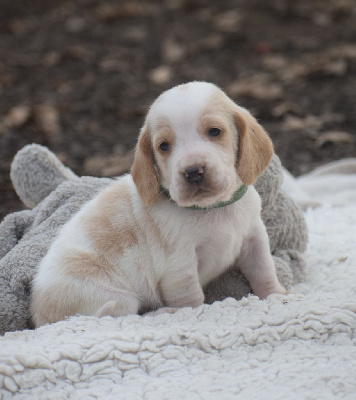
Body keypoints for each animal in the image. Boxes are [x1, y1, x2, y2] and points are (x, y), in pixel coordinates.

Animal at [30, 82, 286, 328]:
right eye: (164, 146)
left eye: (215, 131)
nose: (193, 172)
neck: (214, 208)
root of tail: (39, 317)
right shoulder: (180, 269)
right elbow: (192, 302)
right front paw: (193, 316)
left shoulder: (254, 239)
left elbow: (264, 271)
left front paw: (278, 296)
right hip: (115, 298)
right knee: (118, 316)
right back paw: (162, 312)